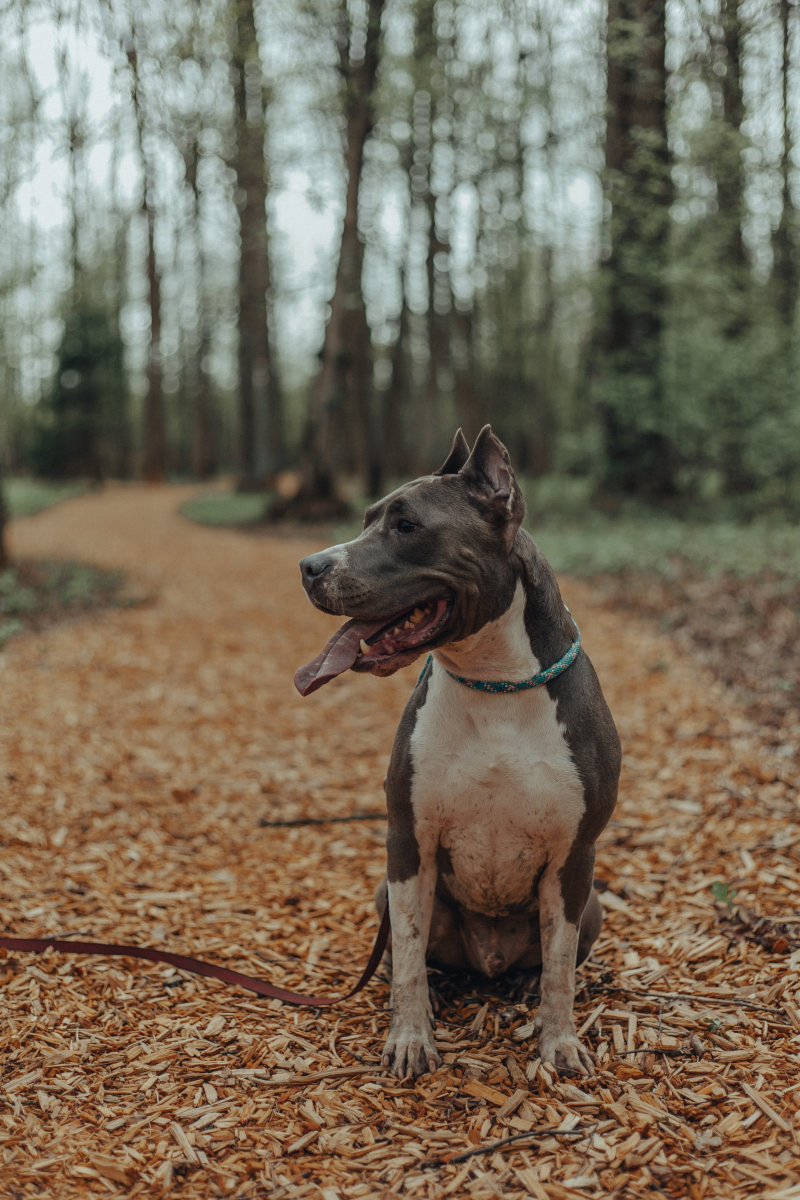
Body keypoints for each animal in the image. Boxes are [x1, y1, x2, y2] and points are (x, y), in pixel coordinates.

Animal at [293, 429, 618, 1080]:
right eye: (367, 520)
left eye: (407, 526)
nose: (311, 566)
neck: (495, 683)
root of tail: (487, 962)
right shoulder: (407, 840)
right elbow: (409, 952)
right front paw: (410, 1036)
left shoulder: (575, 856)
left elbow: (561, 965)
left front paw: (559, 1041)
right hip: (384, 891)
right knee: (415, 955)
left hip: (593, 900)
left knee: (550, 959)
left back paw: (524, 987)